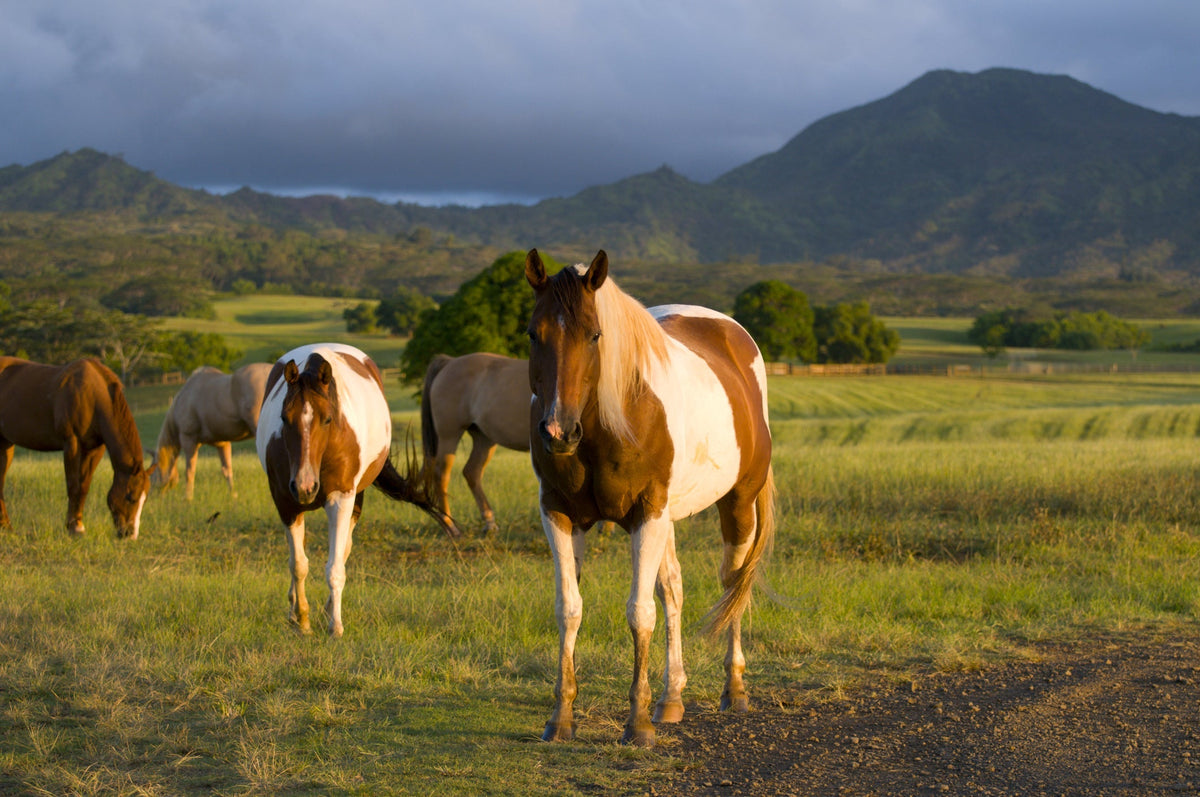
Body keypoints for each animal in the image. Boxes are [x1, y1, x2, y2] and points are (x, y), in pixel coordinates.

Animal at [0, 356, 150, 538]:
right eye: (130, 497)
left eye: (144, 500)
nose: (130, 534)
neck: (93, 396)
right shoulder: (72, 443)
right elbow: (73, 485)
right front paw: (73, 528)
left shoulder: (94, 449)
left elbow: (84, 485)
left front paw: (79, 524)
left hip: (5, 444)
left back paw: (6, 526)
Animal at [148, 362, 272, 500]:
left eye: (151, 473)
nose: (151, 495)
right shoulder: (222, 443)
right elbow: (227, 470)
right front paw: (233, 495)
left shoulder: (188, 439)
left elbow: (189, 470)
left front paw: (188, 497)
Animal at [256, 342, 456, 637]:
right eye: (283, 417)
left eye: (328, 419)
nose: (305, 486)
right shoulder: (285, 503)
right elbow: (298, 564)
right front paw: (301, 618)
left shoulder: (341, 499)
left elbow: (335, 567)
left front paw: (335, 626)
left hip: (355, 499)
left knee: (344, 551)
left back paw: (328, 609)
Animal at [420, 352, 531, 536]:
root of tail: (450, 362)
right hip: (449, 436)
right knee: (441, 474)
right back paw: (450, 526)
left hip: (484, 439)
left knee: (471, 472)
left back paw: (489, 523)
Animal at [524, 249, 775, 748]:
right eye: (532, 333)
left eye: (595, 334)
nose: (558, 432)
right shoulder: (558, 514)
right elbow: (569, 609)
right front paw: (561, 717)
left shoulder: (647, 513)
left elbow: (639, 613)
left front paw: (636, 724)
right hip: (668, 519)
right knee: (673, 589)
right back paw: (671, 697)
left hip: (735, 503)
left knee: (732, 584)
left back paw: (734, 688)